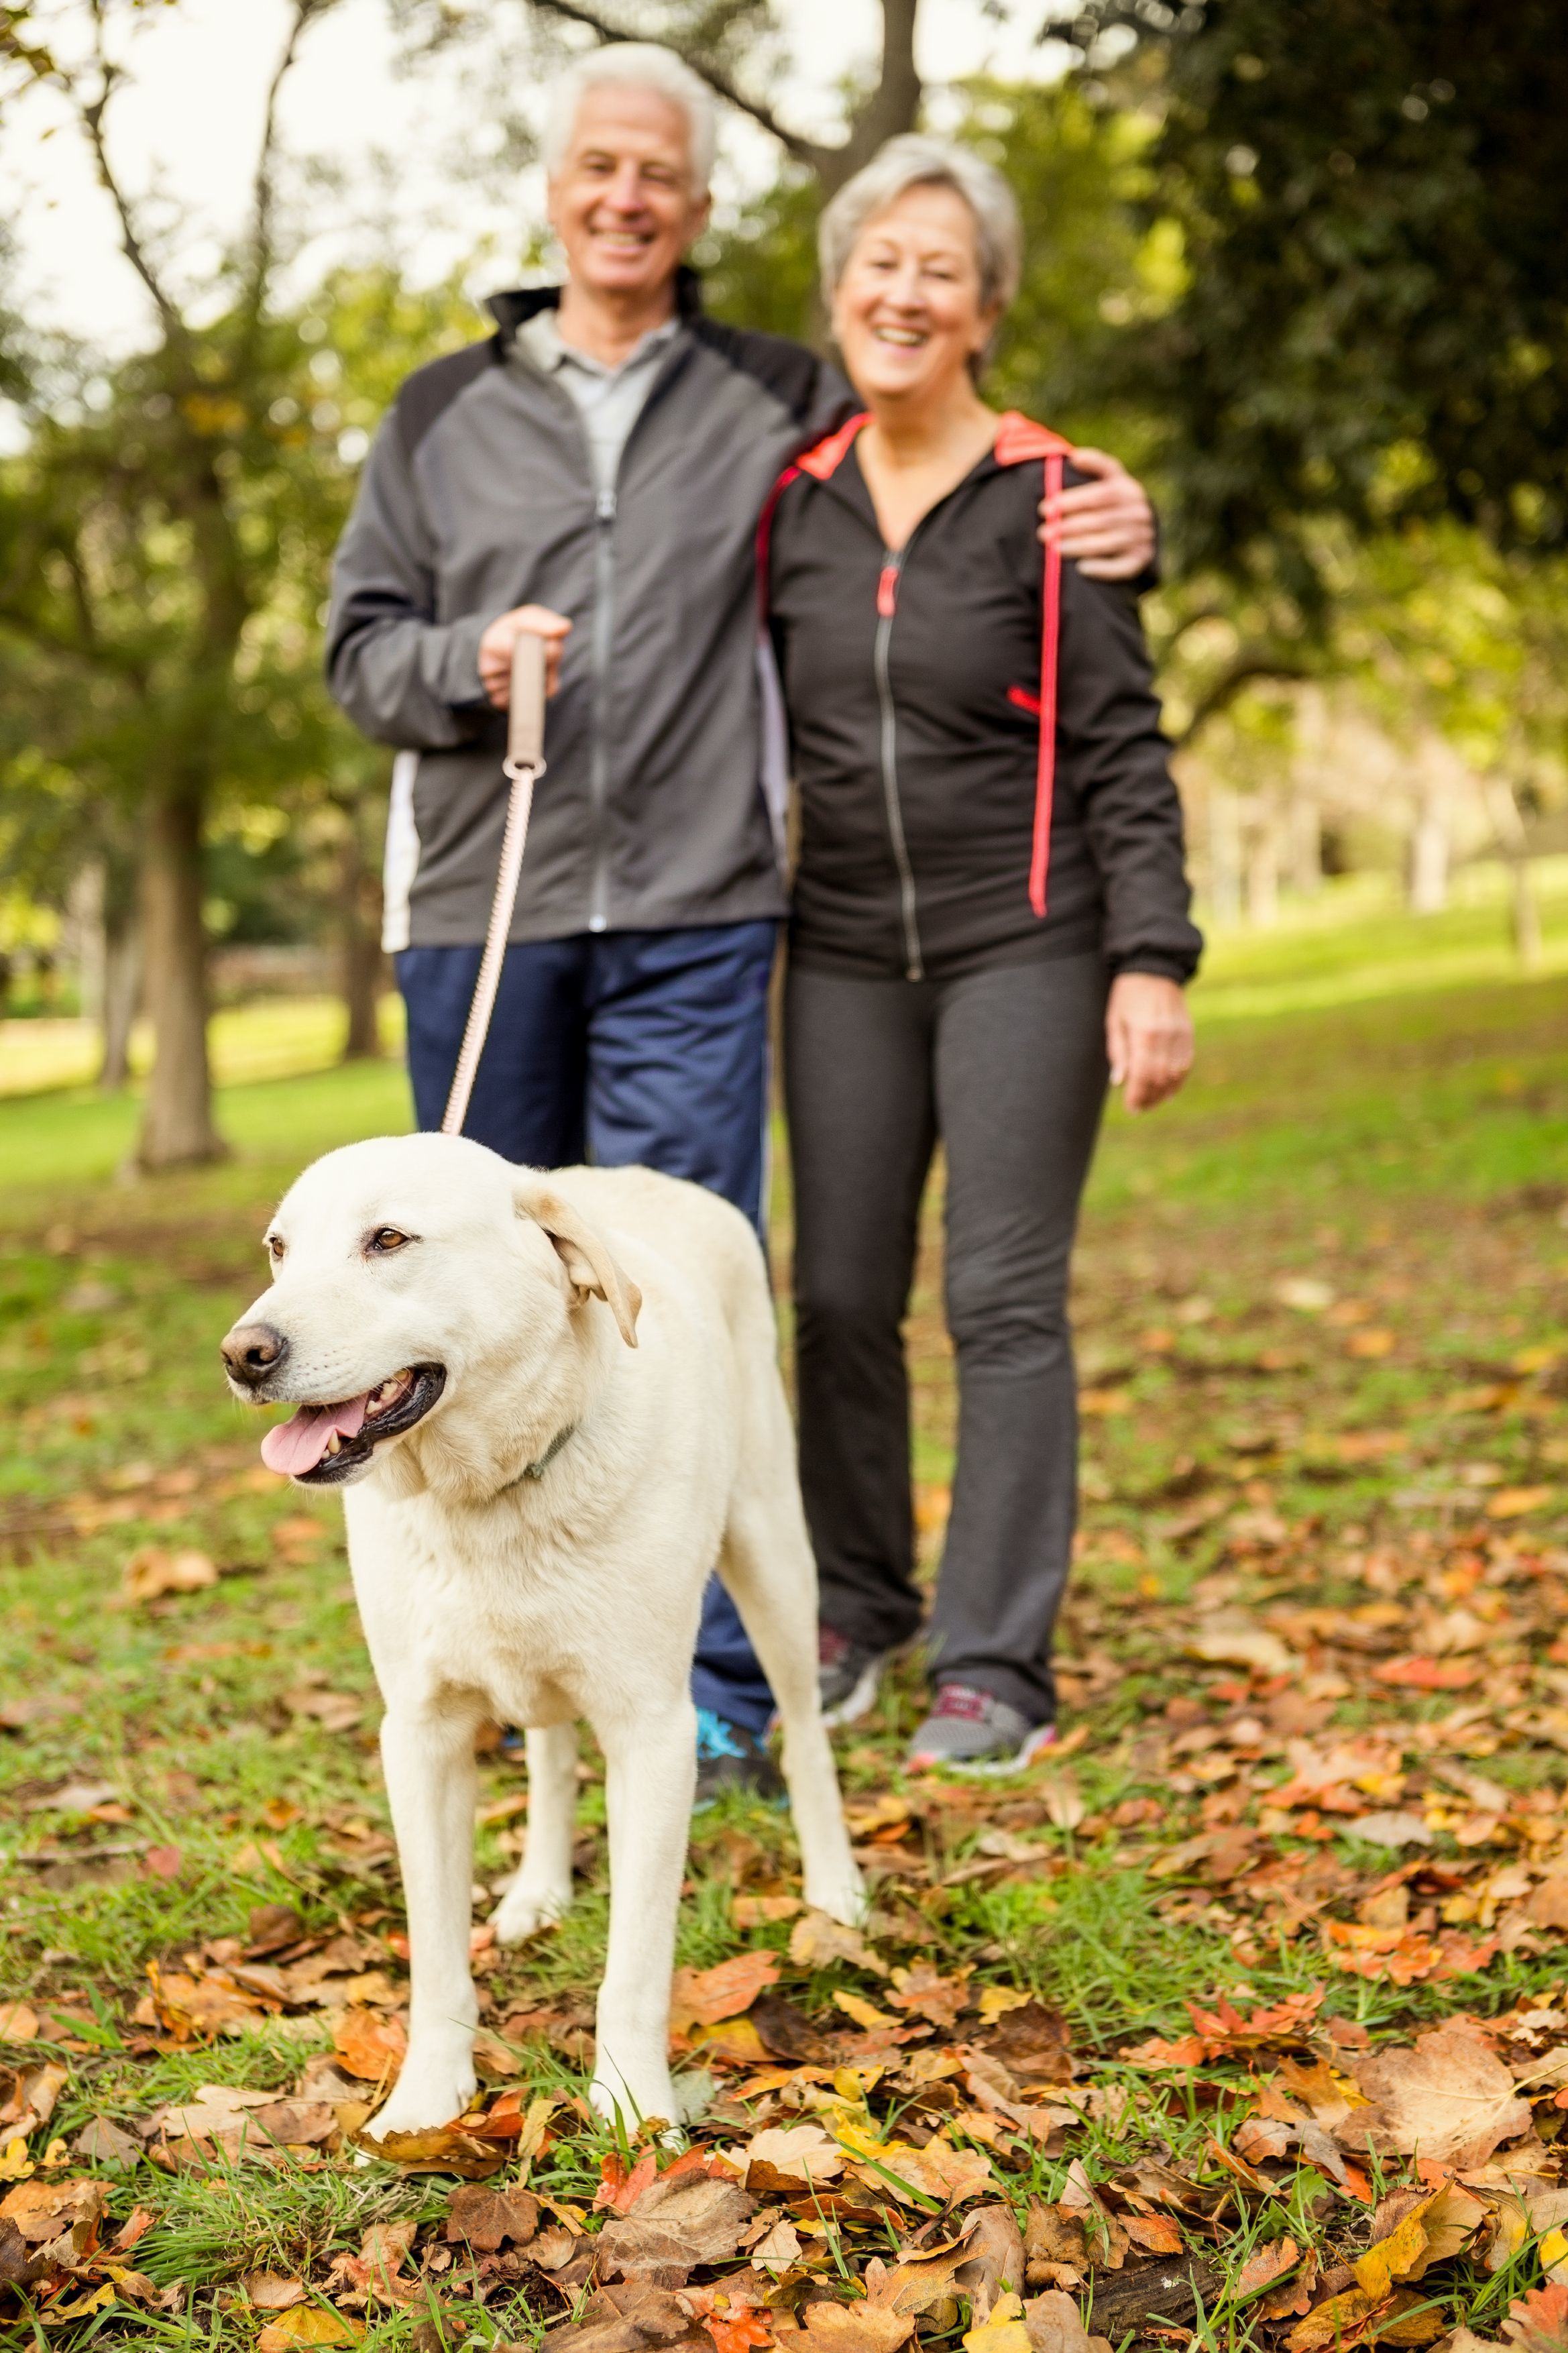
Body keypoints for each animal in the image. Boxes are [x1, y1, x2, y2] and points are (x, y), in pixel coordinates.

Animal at [221, 1129, 861, 2146]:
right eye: (280, 1249)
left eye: (388, 1239)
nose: (243, 1354)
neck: (486, 1497)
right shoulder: (421, 1736)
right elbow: (437, 1954)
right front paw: (426, 2103)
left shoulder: (654, 1734)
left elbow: (635, 1964)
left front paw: (632, 2111)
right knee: (553, 1755)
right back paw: (536, 1891)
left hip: (771, 1557)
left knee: (802, 1732)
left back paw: (834, 1884)